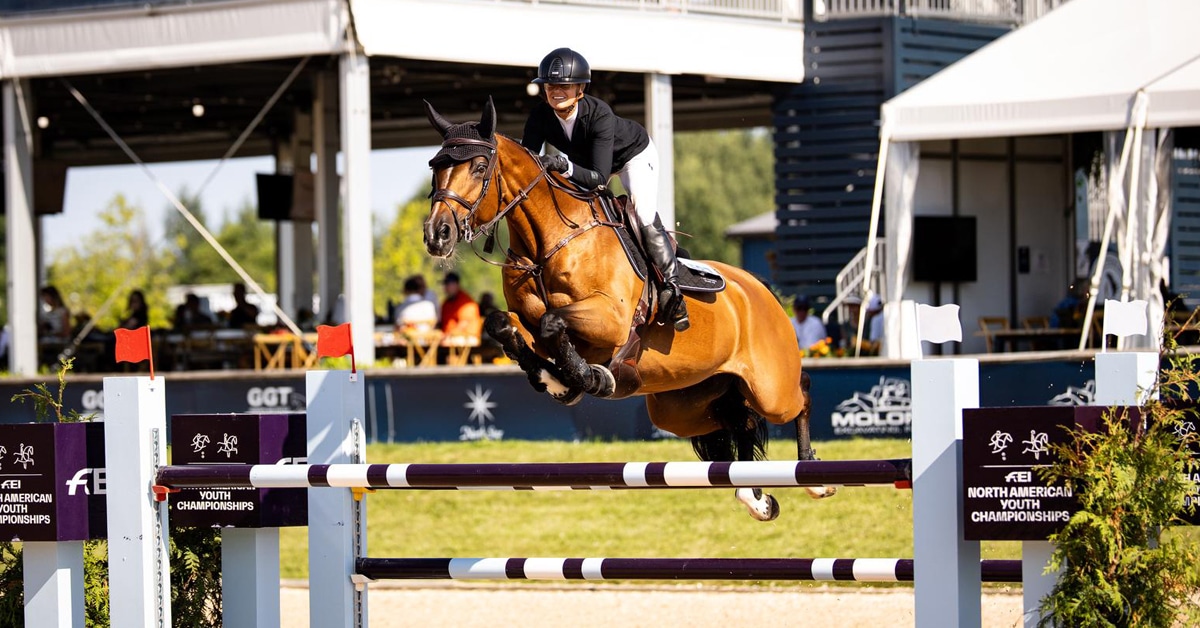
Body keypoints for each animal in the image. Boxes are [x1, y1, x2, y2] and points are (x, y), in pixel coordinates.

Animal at [421, 98, 832, 520]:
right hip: (685, 406)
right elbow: (503, 323)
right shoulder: (528, 320)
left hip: (770, 388)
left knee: (799, 394)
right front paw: (556, 380)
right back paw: (756, 498)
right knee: (739, 421)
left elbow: (555, 323)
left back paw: (813, 477)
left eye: (479, 167)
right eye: (435, 166)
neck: (550, 241)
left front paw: (584, 378)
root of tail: (761, 291)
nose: (437, 235)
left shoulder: (611, 321)